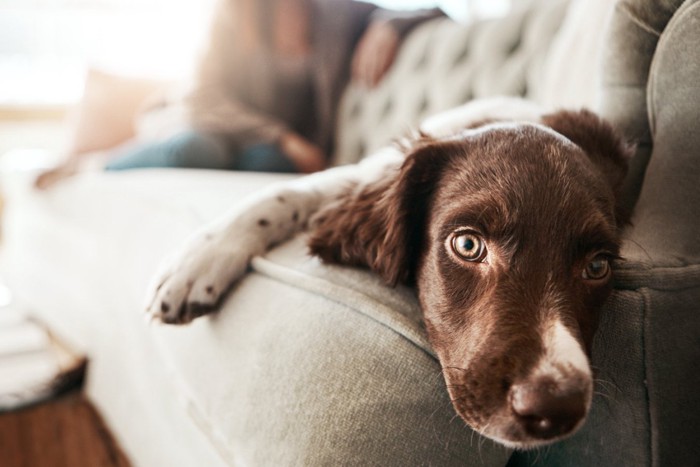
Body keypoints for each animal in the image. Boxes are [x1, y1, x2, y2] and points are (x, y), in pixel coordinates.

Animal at [145, 98, 632, 450]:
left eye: (598, 265)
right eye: (468, 245)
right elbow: (285, 194)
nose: (554, 406)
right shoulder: (363, 173)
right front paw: (197, 262)